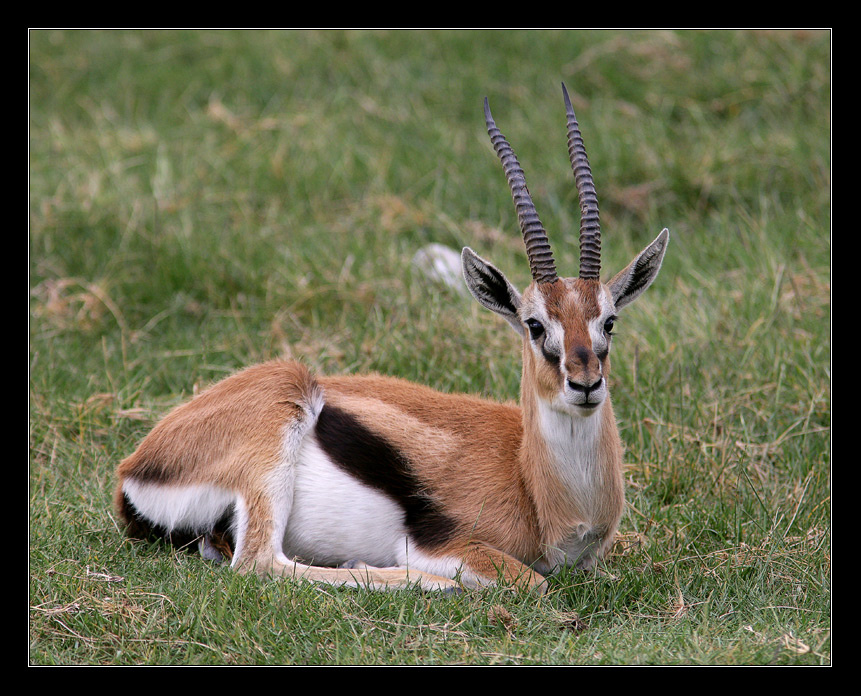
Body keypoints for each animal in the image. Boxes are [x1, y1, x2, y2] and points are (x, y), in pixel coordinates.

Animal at [114, 84, 669, 593]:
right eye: (535, 325)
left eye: (609, 321)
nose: (586, 384)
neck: (535, 483)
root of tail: (134, 466)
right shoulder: (446, 544)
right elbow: (531, 581)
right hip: (279, 431)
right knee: (261, 564)